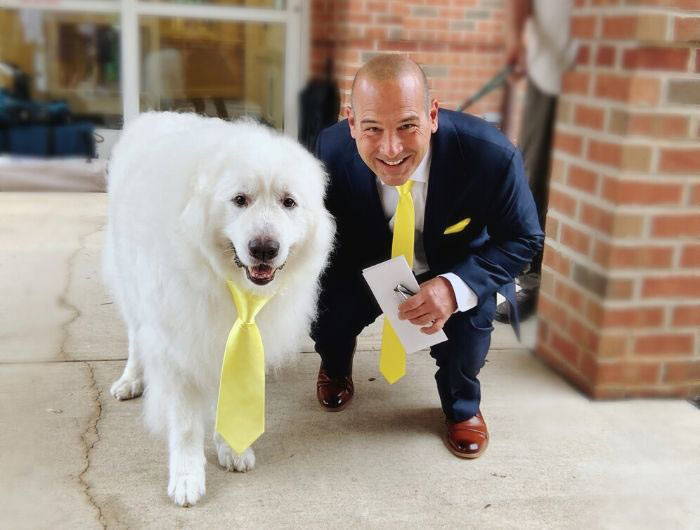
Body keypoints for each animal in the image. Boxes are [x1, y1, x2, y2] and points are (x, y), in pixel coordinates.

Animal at [102, 111, 334, 504]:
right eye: (240, 199)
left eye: (288, 202)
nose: (264, 248)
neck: (225, 279)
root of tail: (154, 115)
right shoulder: (178, 346)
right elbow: (185, 425)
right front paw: (186, 477)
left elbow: (232, 395)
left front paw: (232, 448)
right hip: (131, 287)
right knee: (135, 338)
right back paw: (130, 379)